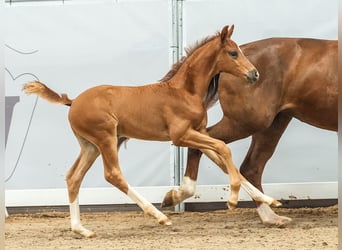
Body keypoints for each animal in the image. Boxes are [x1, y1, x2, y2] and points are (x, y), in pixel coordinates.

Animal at [23, 25, 280, 238]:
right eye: (233, 53)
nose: (254, 74)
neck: (184, 92)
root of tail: (73, 101)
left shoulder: (198, 132)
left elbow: (221, 159)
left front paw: (269, 200)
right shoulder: (180, 136)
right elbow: (223, 149)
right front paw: (233, 199)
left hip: (91, 145)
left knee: (73, 177)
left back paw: (81, 229)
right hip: (106, 138)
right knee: (113, 174)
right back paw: (159, 216)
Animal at [162, 36, 336, 227]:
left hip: (273, 123)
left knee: (251, 167)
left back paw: (270, 216)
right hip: (248, 122)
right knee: (205, 146)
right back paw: (180, 194)